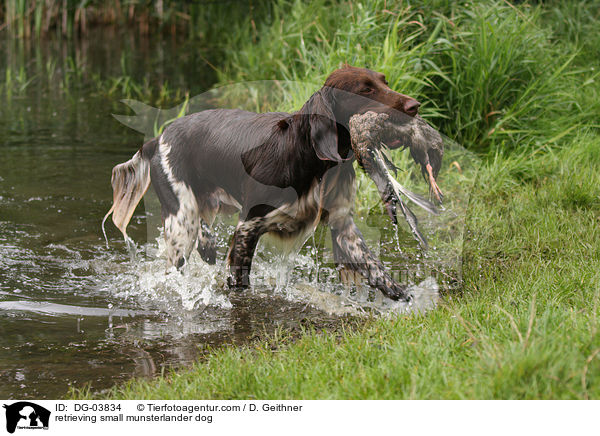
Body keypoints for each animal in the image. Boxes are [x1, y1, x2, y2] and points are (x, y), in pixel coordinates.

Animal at [103, 66, 442, 302]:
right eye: (365, 90)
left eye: (385, 81)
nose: (415, 105)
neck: (312, 158)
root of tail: (157, 139)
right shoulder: (248, 227)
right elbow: (240, 282)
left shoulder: (342, 224)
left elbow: (376, 269)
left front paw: (407, 299)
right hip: (180, 222)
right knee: (176, 266)